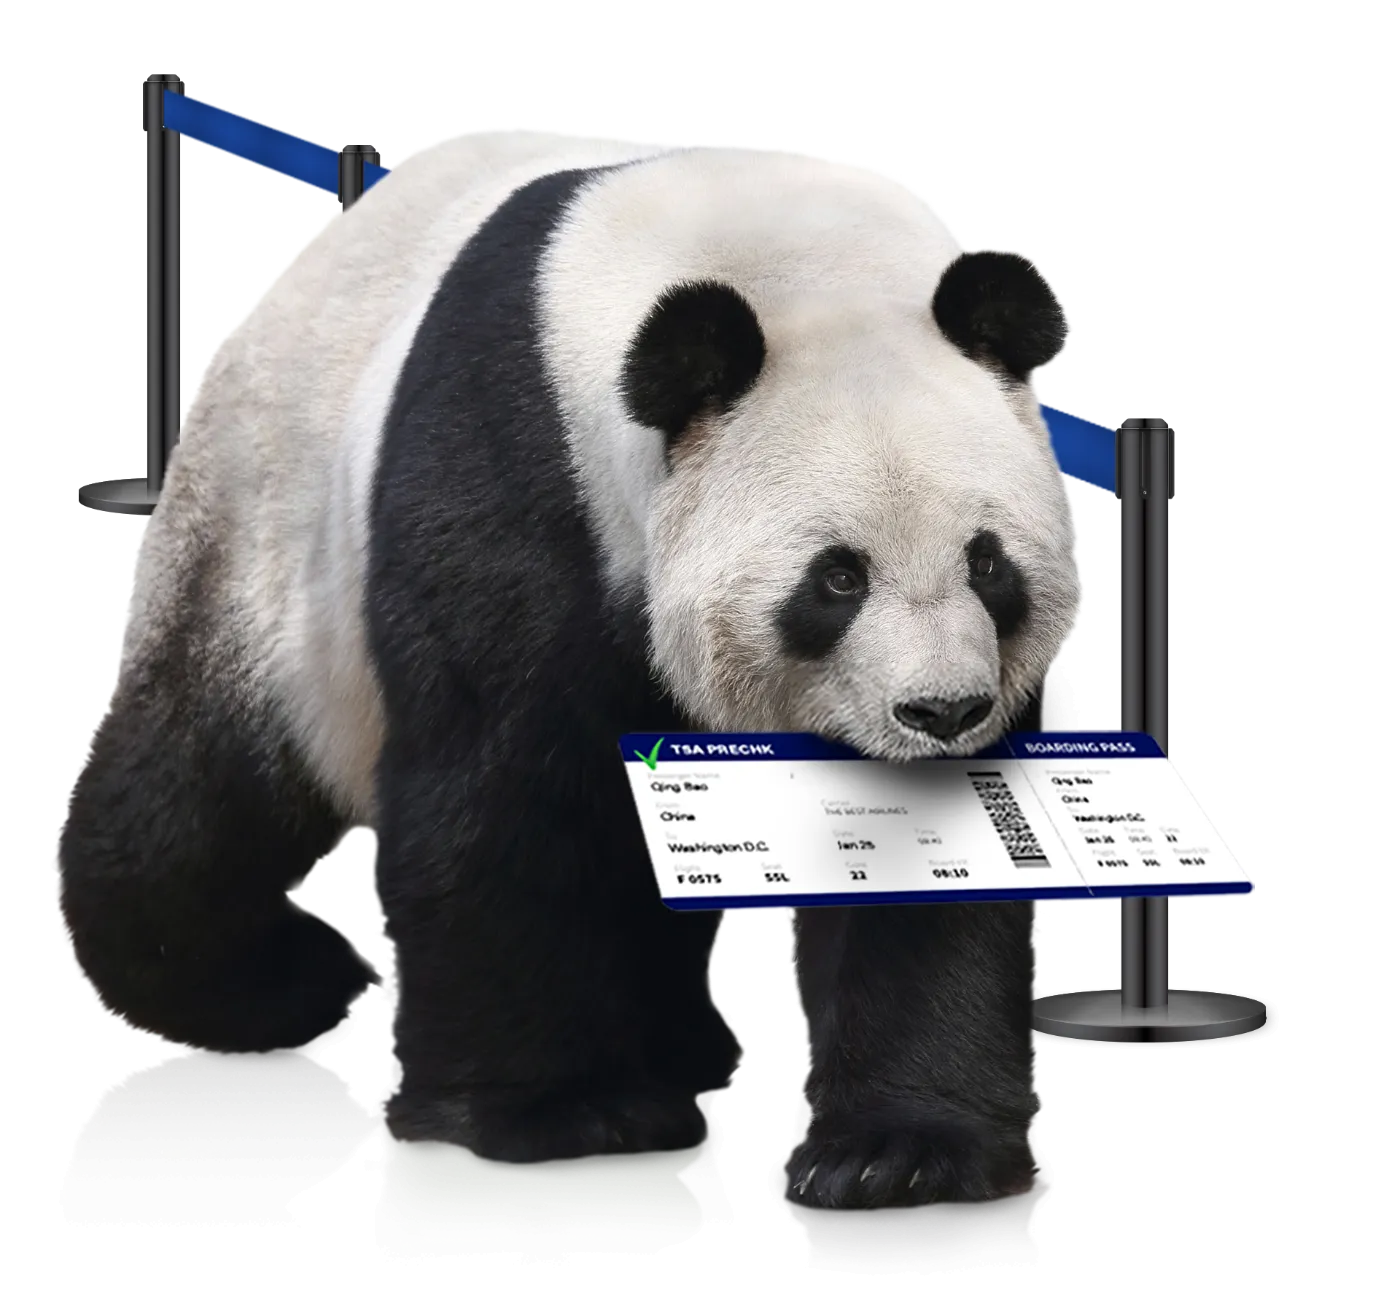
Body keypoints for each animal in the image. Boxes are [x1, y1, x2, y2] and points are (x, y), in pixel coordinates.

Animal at [54, 130, 1082, 1217]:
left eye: (987, 563)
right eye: (837, 577)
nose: (941, 710)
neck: (790, 266)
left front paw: (903, 1157)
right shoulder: (522, 474)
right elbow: (500, 792)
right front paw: (558, 1119)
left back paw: (679, 1043)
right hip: (268, 547)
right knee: (198, 790)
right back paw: (267, 983)